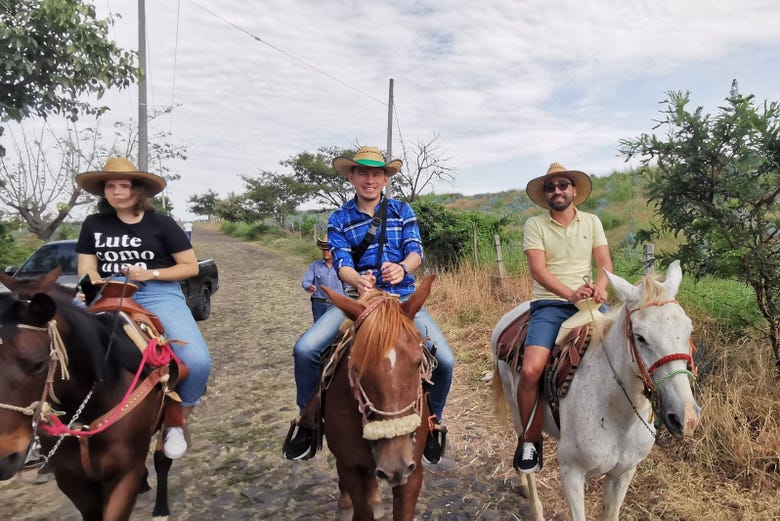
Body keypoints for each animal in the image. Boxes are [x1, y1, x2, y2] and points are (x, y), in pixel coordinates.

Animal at [0, 270, 174, 520]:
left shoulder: (125, 474)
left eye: (38, 365)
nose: (4, 458)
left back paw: (161, 508)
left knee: (162, 460)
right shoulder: (71, 480)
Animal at [320, 274, 436, 516]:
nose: (395, 464)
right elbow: (361, 510)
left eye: (418, 362)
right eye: (356, 368)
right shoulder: (351, 469)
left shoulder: (412, 472)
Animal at [490, 260, 696, 520]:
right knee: (525, 449)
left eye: (689, 329)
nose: (685, 417)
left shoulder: (623, 473)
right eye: (640, 337)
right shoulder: (571, 474)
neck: (615, 410)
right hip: (517, 410)